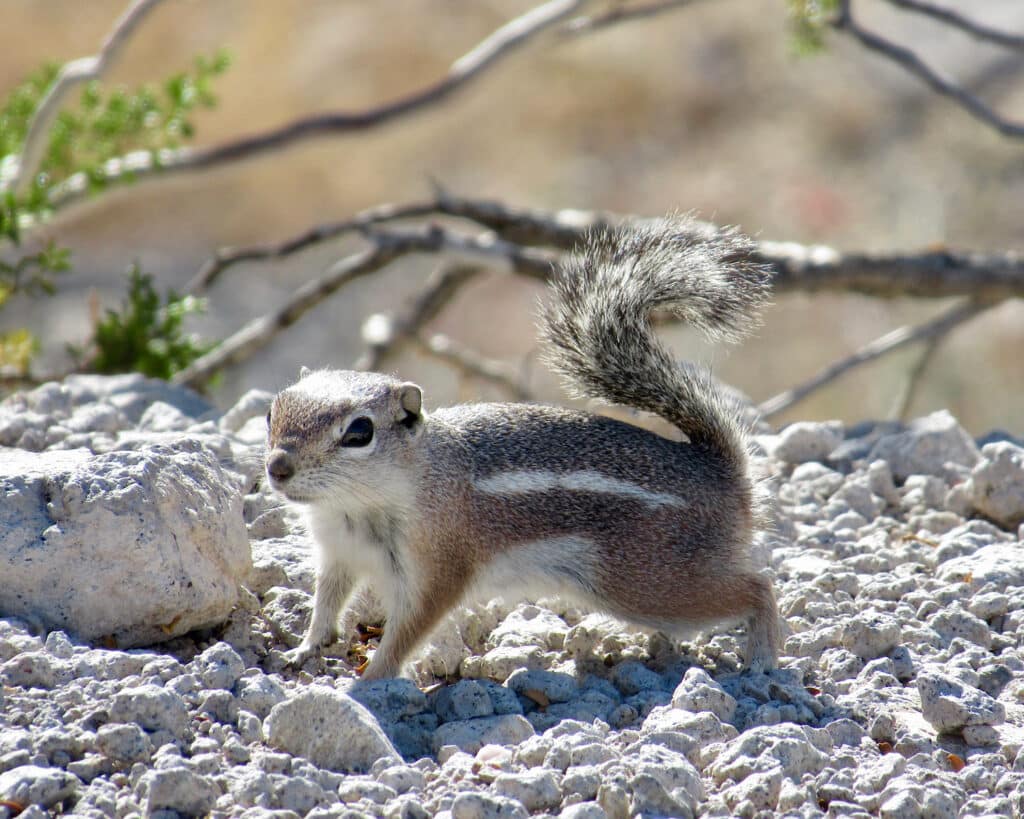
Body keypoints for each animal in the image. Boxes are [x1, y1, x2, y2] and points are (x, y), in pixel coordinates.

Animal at [266, 216, 782, 679]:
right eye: (272, 413)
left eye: (359, 432)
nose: (277, 467)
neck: (358, 506)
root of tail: (723, 471)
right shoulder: (337, 553)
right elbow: (327, 603)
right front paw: (306, 648)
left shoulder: (439, 564)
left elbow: (410, 629)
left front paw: (372, 680)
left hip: (650, 582)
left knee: (759, 585)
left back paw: (762, 658)